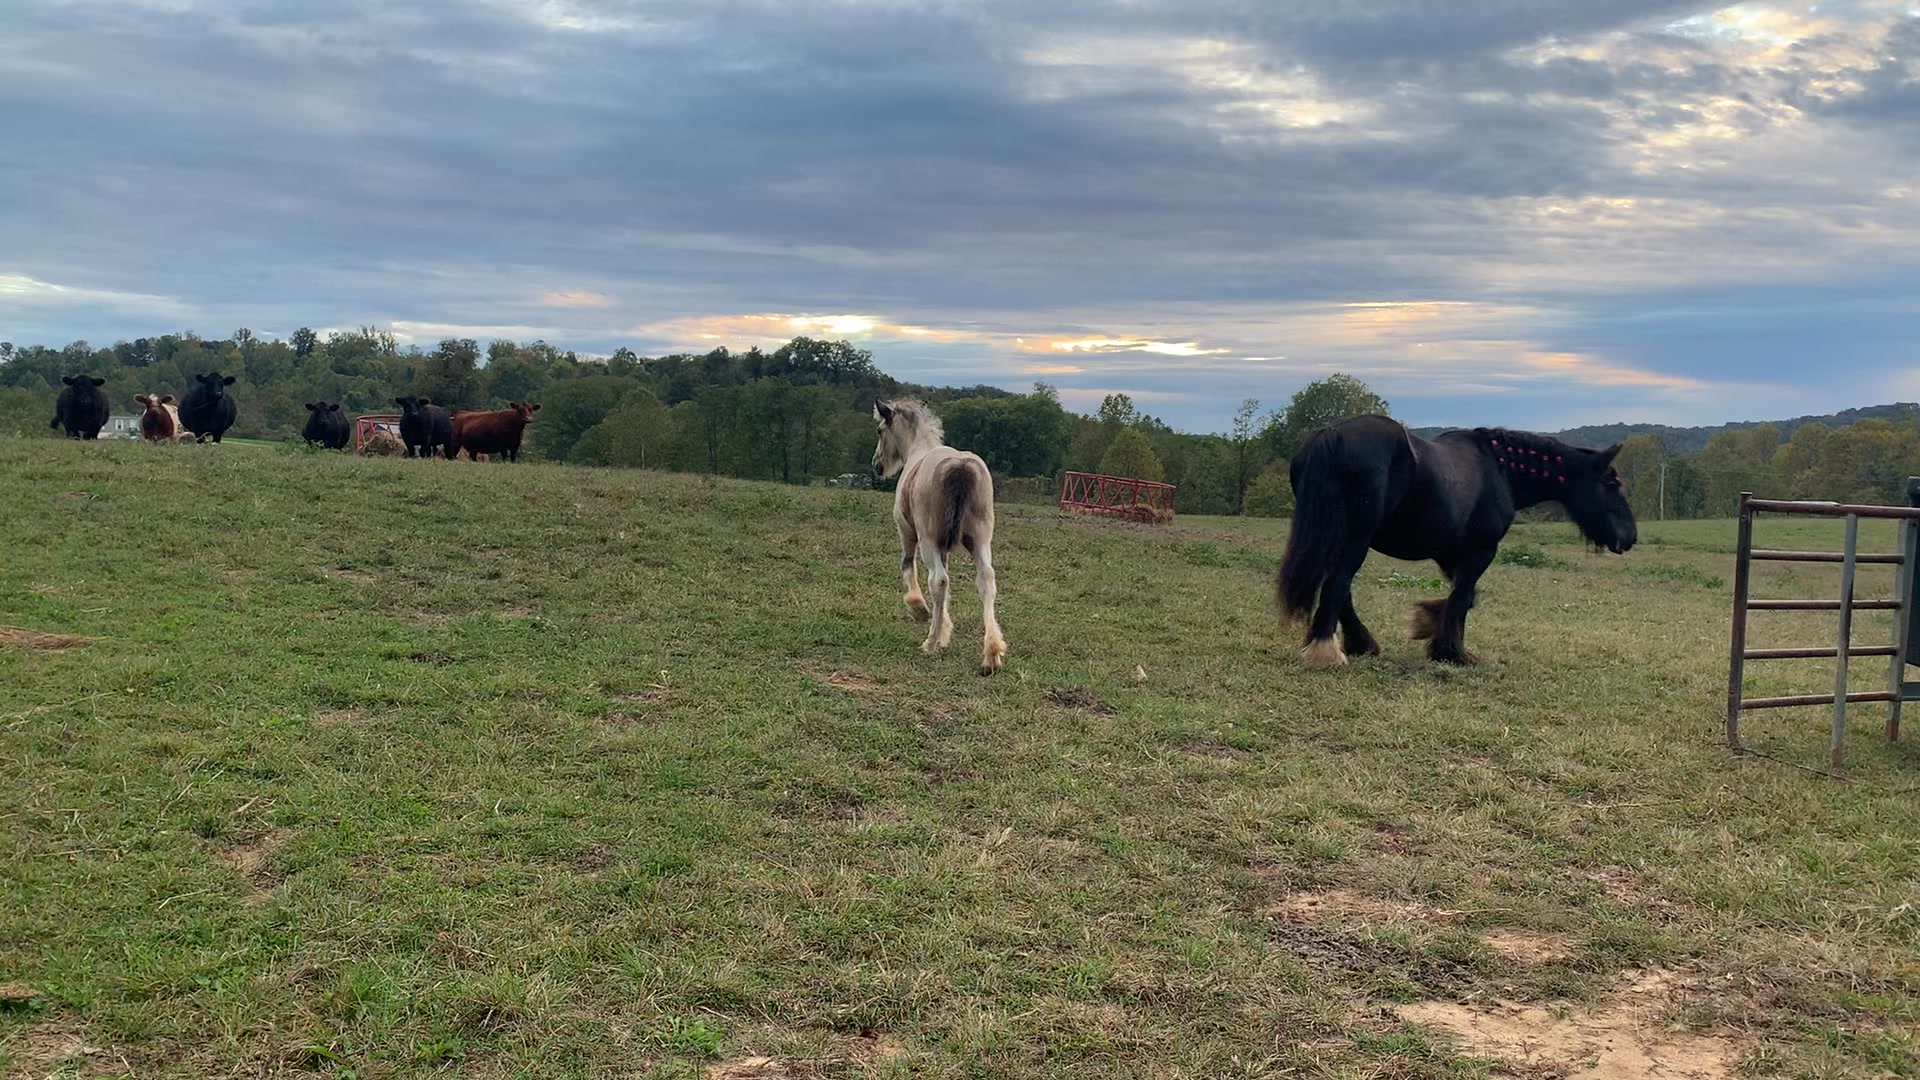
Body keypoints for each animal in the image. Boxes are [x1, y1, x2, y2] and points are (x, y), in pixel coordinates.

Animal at [870, 399, 1007, 675]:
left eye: (880, 431)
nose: (876, 465)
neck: (917, 450)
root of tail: (959, 466)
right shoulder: (945, 547)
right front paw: (945, 630)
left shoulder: (908, 533)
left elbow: (907, 565)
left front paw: (919, 609)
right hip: (980, 540)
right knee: (986, 579)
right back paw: (992, 654)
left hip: (928, 541)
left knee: (938, 581)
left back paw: (930, 642)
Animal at [1276, 415, 1636, 667]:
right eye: (1611, 484)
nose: (1630, 536)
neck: (1499, 470)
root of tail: (1330, 435)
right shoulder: (1482, 550)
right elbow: (1462, 597)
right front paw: (1452, 652)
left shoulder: (1449, 553)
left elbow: (1463, 597)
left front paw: (1425, 623)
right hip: (1355, 539)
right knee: (1338, 583)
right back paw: (1328, 650)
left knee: (1340, 588)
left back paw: (1358, 644)